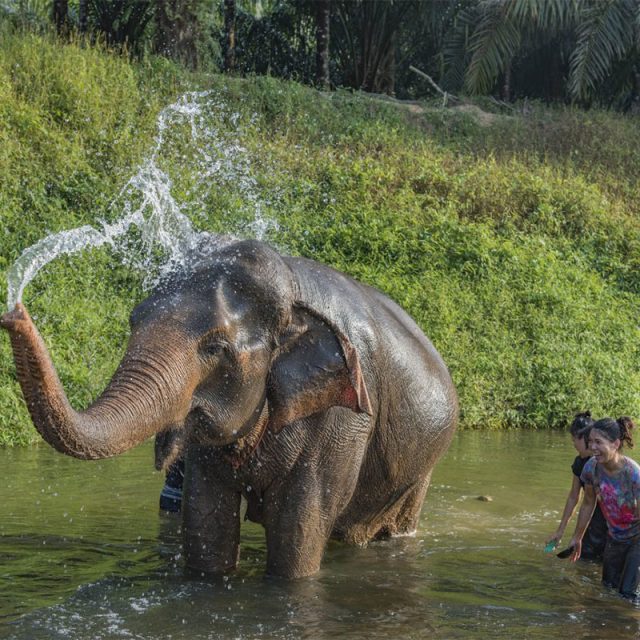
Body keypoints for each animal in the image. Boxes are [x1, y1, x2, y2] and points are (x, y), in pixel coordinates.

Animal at [2, 238, 458, 576]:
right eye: (134, 320)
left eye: (216, 348)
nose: (13, 311)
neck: (292, 294)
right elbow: (207, 524)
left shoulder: (340, 421)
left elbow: (298, 531)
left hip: (421, 471)